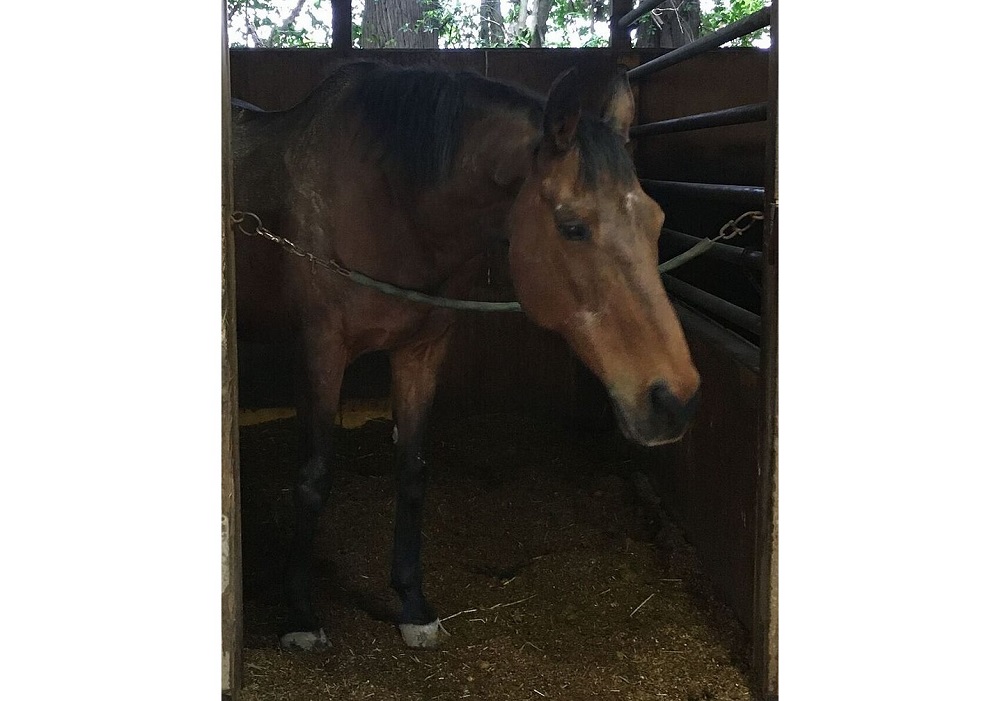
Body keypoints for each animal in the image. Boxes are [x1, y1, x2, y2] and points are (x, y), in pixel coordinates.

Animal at [231, 60, 701, 652]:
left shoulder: (423, 350)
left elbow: (413, 472)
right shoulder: (320, 350)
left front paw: (412, 605)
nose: (674, 401)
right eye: (572, 227)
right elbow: (313, 478)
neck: (389, 202)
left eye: (658, 221)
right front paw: (298, 615)